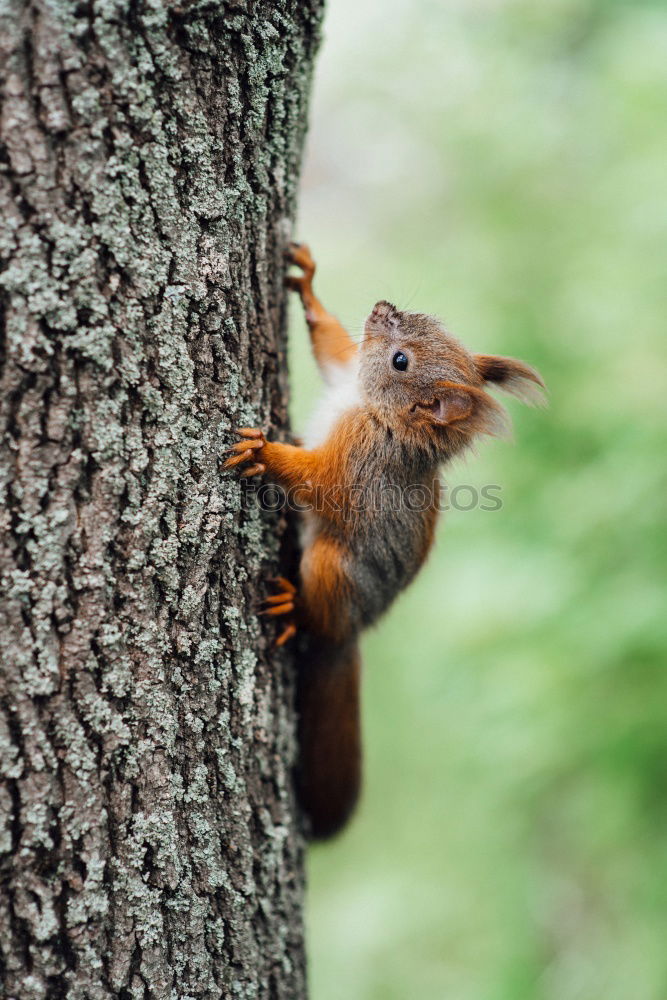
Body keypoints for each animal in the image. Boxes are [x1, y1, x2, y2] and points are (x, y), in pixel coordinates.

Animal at [227, 242, 544, 836]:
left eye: (401, 362)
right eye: (433, 324)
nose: (381, 307)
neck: (372, 411)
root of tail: (352, 630)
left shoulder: (357, 466)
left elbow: (315, 480)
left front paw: (265, 452)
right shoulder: (341, 376)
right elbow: (335, 349)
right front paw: (308, 283)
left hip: (332, 567)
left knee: (317, 610)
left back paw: (295, 608)